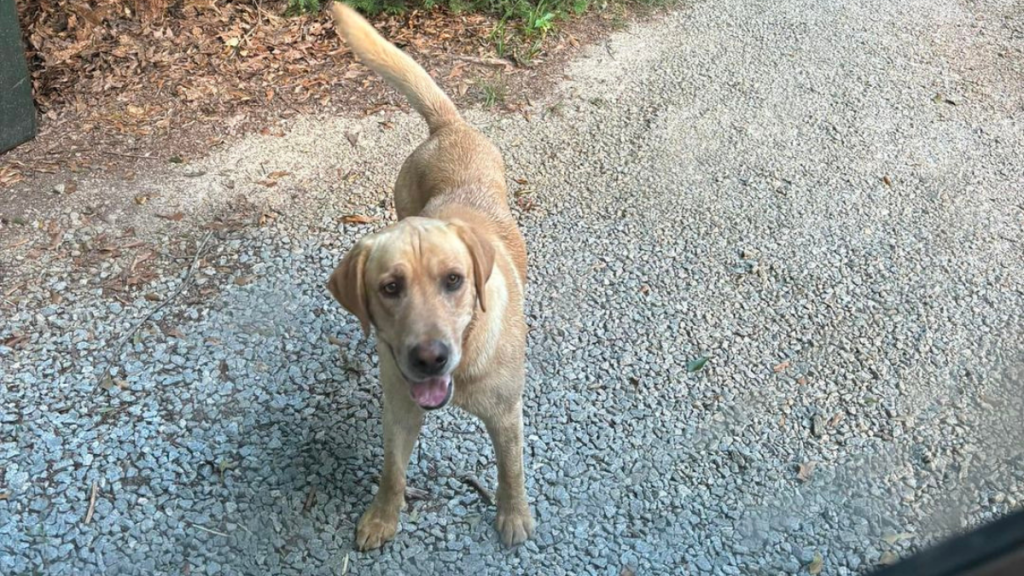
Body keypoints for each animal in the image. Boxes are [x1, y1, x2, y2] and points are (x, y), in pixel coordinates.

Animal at [325, 2, 536, 545]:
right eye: (389, 287)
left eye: (454, 280)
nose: (429, 357)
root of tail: (447, 126)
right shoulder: (399, 408)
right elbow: (393, 470)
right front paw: (383, 516)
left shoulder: (506, 414)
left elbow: (511, 468)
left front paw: (513, 515)